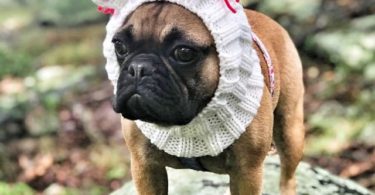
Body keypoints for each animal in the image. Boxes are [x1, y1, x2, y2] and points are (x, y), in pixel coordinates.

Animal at [109, 1, 306, 195]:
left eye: (184, 53)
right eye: (119, 47)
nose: (138, 68)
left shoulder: (247, 173)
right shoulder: (145, 167)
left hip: (290, 133)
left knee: (288, 176)